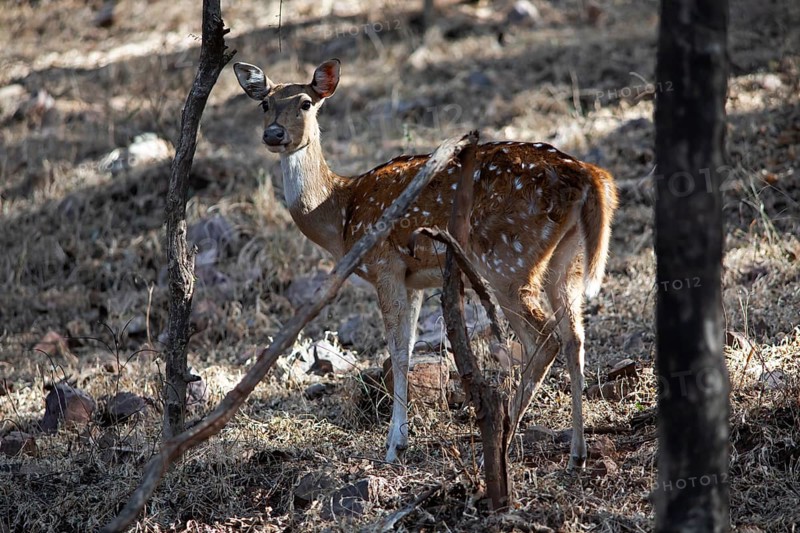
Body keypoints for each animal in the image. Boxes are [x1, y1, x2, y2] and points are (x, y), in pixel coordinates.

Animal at [233, 59, 618, 469]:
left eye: (306, 102)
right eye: (265, 104)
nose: (274, 134)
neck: (340, 214)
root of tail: (591, 177)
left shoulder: (384, 264)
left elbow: (397, 351)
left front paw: (393, 446)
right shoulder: (413, 279)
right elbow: (409, 347)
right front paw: (401, 438)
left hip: (508, 260)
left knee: (544, 338)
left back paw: (503, 440)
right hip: (567, 261)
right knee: (574, 337)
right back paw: (576, 451)